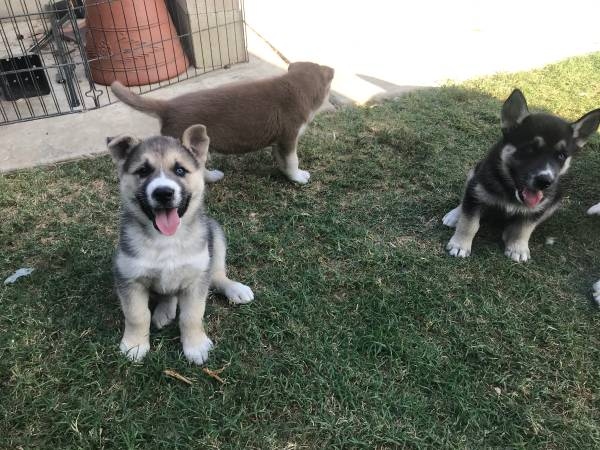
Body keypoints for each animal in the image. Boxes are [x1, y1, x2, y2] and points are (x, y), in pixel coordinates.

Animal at [109, 124, 254, 366]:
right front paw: (135, 344)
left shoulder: (196, 278)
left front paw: (195, 345)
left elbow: (191, 315)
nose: (163, 193)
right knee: (169, 293)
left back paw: (235, 288)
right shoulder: (129, 278)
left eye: (180, 170)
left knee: (216, 275)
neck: (166, 239)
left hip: (215, 235)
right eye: (143, 171)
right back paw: (164, 311)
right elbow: (137, 315)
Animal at [110, 61, 336, 185]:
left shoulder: (279, 141)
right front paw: (297, 177)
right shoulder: (289, 137)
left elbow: (281, 159)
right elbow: (292, 160)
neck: (296, 86)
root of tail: (167, 106)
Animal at [440, 88, 600, 262]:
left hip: (556, 199)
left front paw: (518, 247)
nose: (545, 181)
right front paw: (460, 245)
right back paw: (455, 215)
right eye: (530, 149)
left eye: (561, 156)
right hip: (474, 174)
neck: (510, 191)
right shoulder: (476, 193)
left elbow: (525, 228)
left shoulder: (538, 208)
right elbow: (469, 223)